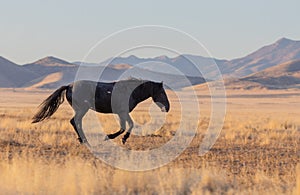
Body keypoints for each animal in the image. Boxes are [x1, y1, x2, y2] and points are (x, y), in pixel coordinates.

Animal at [32, 79, 171, 145]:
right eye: (162, 93)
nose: (167, 107)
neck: (130, 91)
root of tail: (69, 86)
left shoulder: (121, 113)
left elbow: (124, 126)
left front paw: (116, 138)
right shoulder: (123, 112)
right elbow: (128, 126)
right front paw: (116, 138)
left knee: (76, 122)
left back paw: (82, 139)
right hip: (82, 109)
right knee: (75, 121)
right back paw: (84, 140)